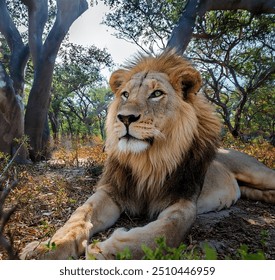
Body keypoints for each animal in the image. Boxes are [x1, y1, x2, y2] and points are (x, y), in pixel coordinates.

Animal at [21, 50, 275, 260]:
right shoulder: (112, 191)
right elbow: (78, 216)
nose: (125, 117)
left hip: (256, 172)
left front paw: (107, 250)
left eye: (156, 93)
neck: (147, 160)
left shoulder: (184, 201)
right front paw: (45, 248)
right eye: (124, 94)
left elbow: (162, 233)